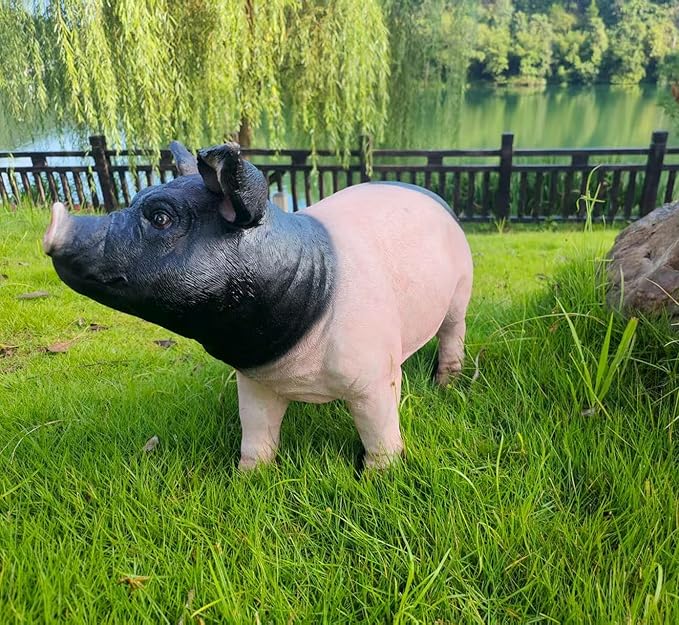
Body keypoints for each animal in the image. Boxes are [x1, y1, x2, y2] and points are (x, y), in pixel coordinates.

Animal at [43, 141, 473, 470]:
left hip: (462, 289)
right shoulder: (253, 381)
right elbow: (256, 430)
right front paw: (248, 476)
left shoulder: (372, 377)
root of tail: (431, 195)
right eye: (134, 201)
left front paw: (377, 476)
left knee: (453, 331)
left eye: (161, 218)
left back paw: (446, 384)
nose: (55, 220)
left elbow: (378, 429)